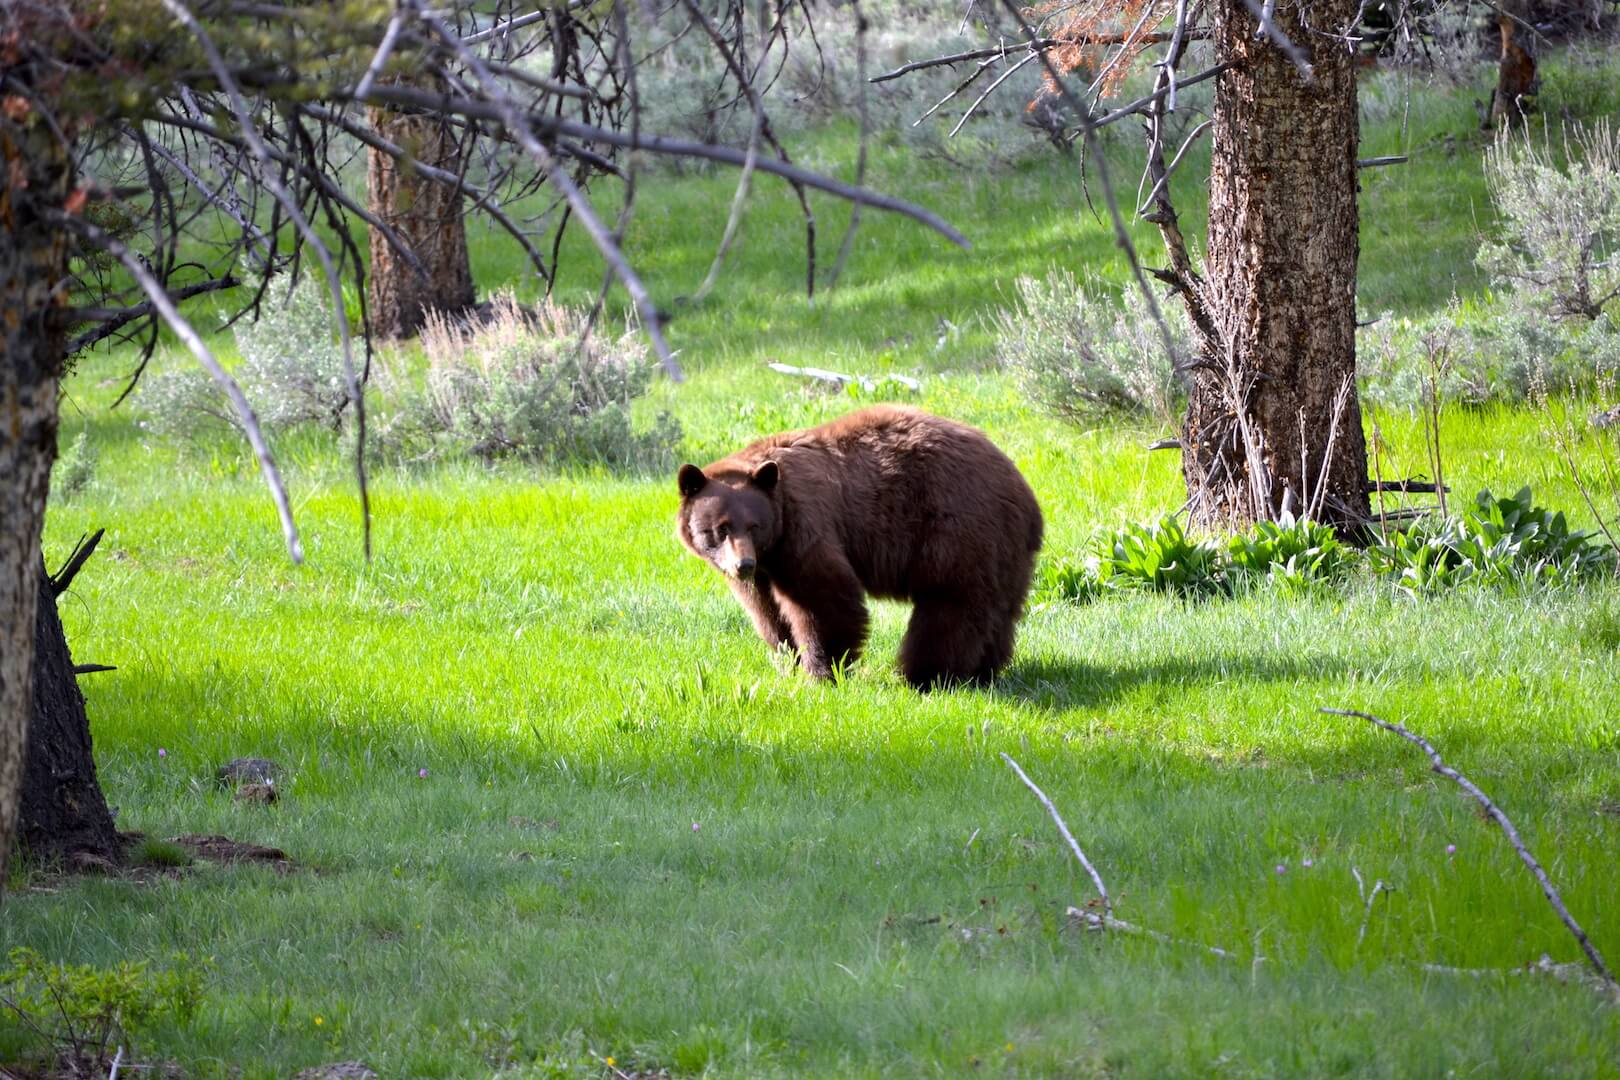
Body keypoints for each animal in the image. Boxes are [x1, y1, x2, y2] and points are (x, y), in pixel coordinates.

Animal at [673, 404, 1043, 693]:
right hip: (1004, 553)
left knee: (950, 606)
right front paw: (789, 658)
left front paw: (822, 671)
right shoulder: (767, 565)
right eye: (719, 529)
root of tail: (1027, 497)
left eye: (754, 525)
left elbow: (823, 598)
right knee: (999, 611)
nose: (743, 564)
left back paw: (927, 676)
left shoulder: (805, 526)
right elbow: (766, 611)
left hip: (957, 529)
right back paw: (982, 672)